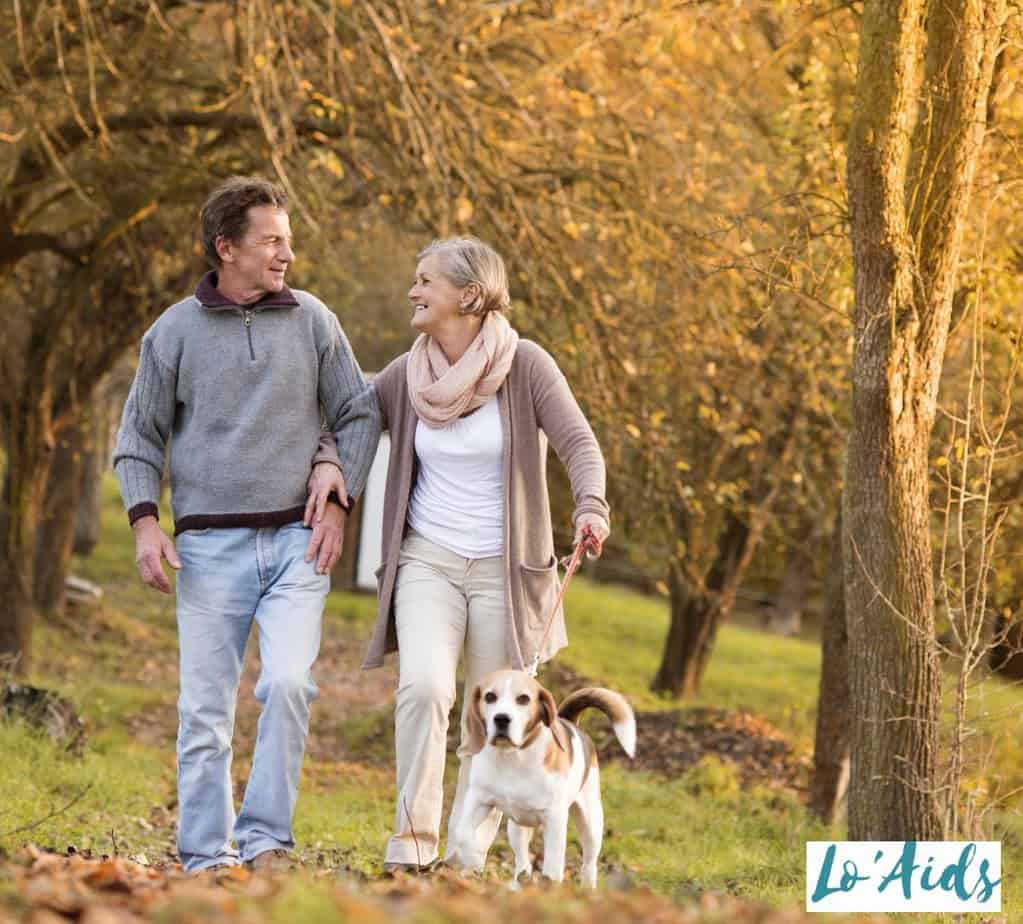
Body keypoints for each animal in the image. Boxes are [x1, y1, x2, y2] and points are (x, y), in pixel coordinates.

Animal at [448, 671, 630, 888]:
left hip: (591, 824)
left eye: (523, 699)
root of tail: (571, 724)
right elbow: (462, 833)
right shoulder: (478, 800)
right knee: (522, 861)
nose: (501, 719)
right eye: (489, 696)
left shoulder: (554, 820)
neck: (511, 757)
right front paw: (472, 861)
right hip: (516, 828)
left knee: (589, 863)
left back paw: (587, 888)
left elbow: (552, 867)